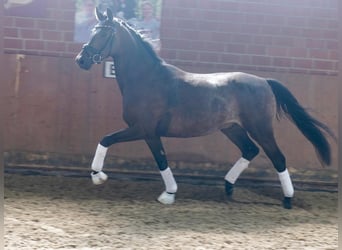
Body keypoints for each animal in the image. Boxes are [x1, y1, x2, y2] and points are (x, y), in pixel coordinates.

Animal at [75, 7, 334, 209]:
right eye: (92, 30)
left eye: (104, 32)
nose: (81, 60)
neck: (148, 79)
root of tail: (264, 81)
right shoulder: (147, 132)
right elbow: (134, 150)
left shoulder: (145, 130)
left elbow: (126, 146)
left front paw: (100, 176)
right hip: (232, 128)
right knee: (250, 150)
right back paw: (228, 186)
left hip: (260, 129)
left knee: (278, 158)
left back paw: (287, 199)